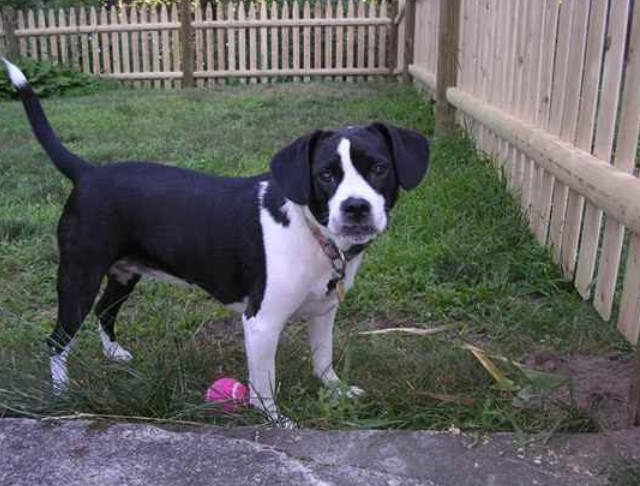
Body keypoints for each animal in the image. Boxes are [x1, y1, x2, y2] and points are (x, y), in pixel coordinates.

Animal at [3, 59, 430, 426]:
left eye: (379, 167)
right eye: (325, 175)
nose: (356, 207)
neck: (309, 229)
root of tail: (87, 172)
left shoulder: (324, 310)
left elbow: (322, 358)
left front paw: (335, 390)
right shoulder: (261, 323)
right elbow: (263, 387)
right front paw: (278, 422)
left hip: (124, 273)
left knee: (105, 311)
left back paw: (114, 353)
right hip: (79, 275)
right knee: (57, 340)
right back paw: (62, 393)